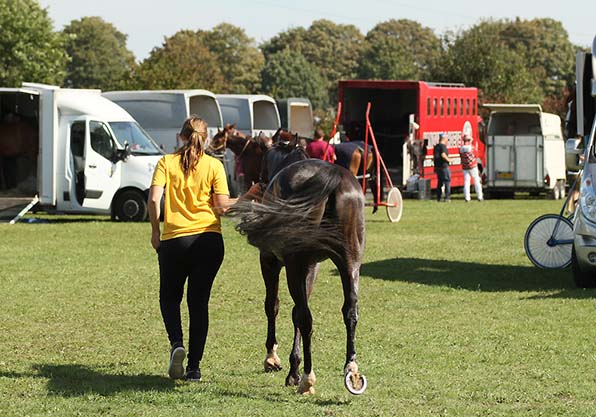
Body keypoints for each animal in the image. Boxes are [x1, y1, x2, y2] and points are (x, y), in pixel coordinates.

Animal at [228, 158, 368, 394]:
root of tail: (333, 174)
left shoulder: (270, 261)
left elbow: (273, 305)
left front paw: (273, 358)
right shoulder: (311, 267)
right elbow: (295, 313)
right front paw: (293, 367)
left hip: (293, 265)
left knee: (305, 316)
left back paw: (307, 379)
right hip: (350, 264)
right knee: (349, 311)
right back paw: (350, 367)